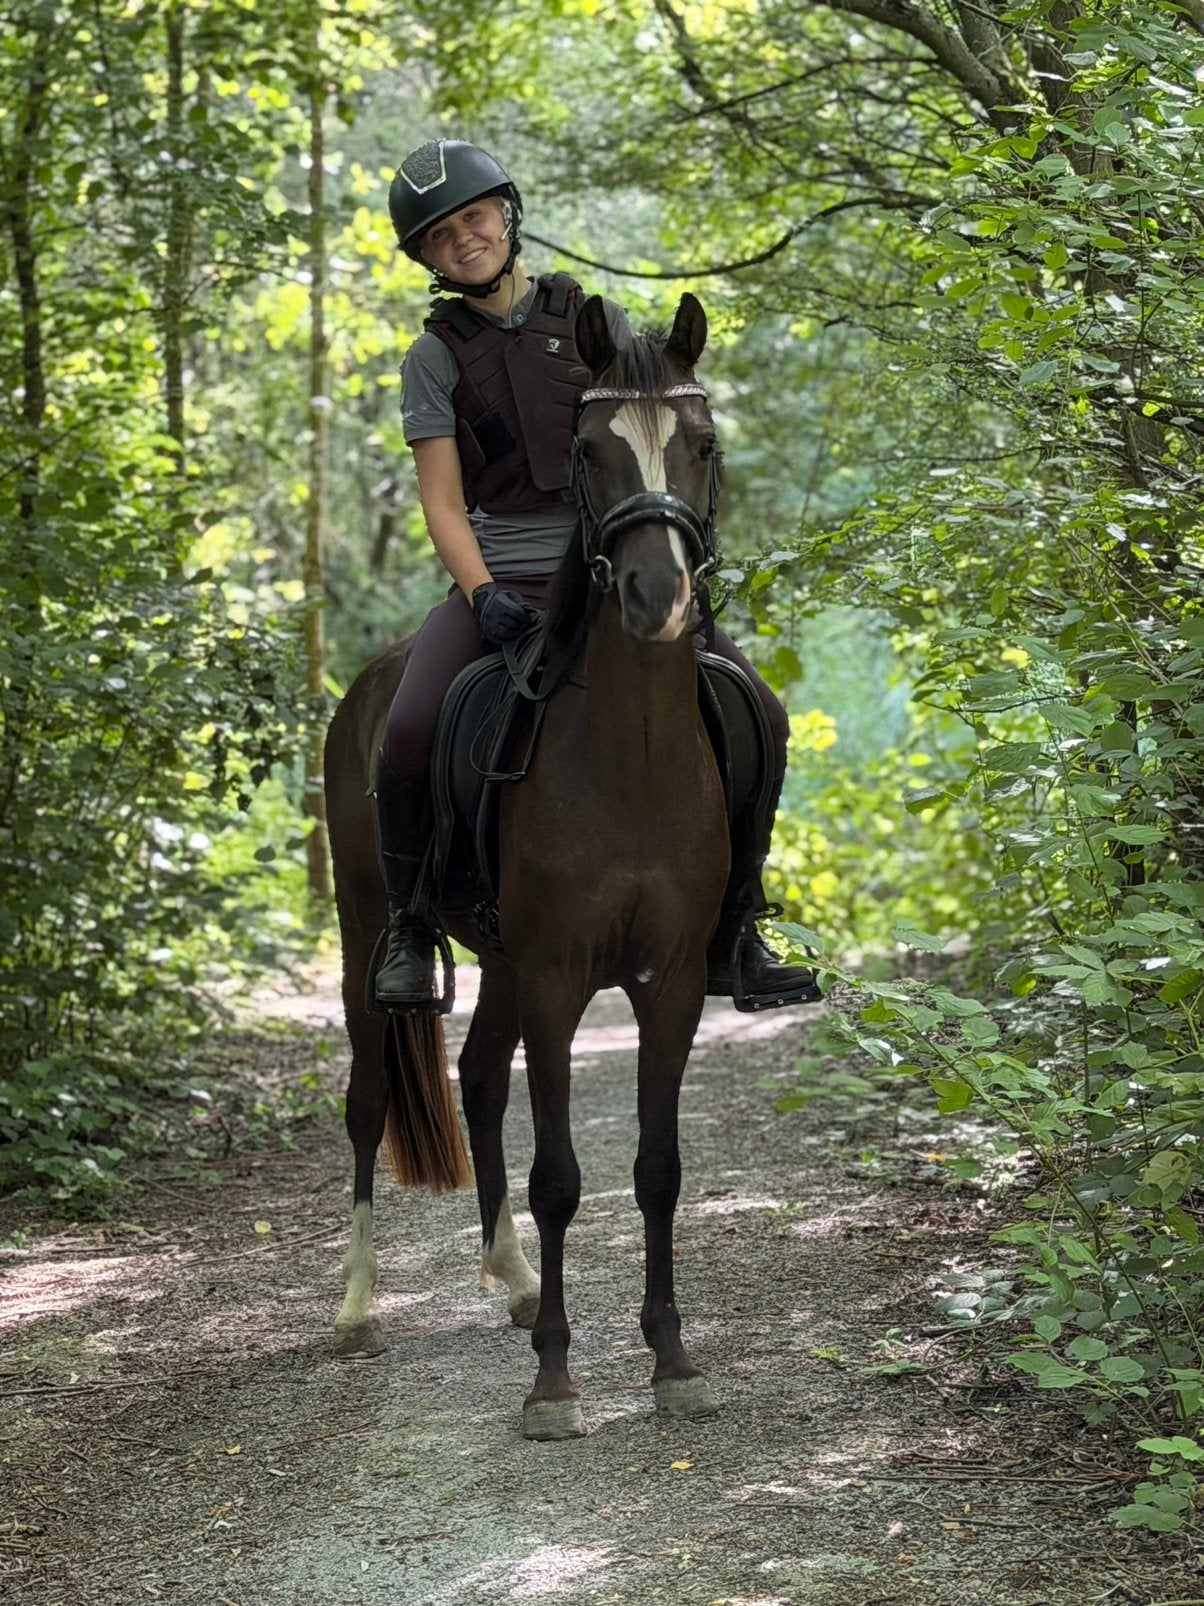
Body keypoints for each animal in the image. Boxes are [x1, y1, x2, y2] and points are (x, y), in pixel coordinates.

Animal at [323, 291, 730, 1440]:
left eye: (701, 441)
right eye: (590, 452)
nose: (653, 593)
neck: (632, 757)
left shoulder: (672, 982)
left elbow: (657, 1169)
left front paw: (672, 1360)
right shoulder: (556, 978)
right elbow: (560, 1178)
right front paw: (554, 1382)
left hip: (500, 959)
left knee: (475, 1078)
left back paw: (507, 1281)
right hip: (367, 931)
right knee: (369, 1098)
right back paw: (359, 1308)